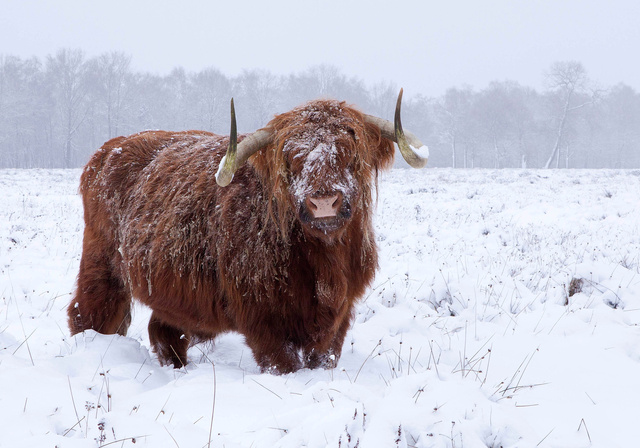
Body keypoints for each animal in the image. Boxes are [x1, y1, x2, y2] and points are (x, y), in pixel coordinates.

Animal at [67, 89, 428, 372]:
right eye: (290, 158)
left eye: (351, 154)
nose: (323, 201)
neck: (323, 261)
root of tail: (107, 150)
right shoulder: (261, 317)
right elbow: (282, 363)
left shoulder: (338, 315)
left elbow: (323, 358)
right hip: (102, 265)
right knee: (90, 313)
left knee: (164, 331)